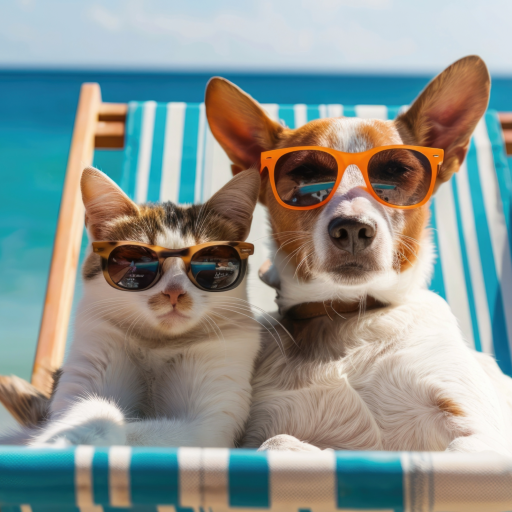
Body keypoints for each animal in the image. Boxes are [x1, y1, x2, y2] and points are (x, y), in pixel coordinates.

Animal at [0, 168, 262, 448]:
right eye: (135, 259)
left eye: (211, 261)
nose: (174, 292)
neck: (159, 344)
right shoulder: (91, 363)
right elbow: (93, 407)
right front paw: (69, 437)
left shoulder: (210, 421)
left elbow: (143, 431)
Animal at [204, 56, 512, 454]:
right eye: (306, 175)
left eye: (396, 171)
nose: (352, 228)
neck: (348, 315)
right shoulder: (256, 432)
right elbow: (277, 440)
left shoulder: (481, 435)